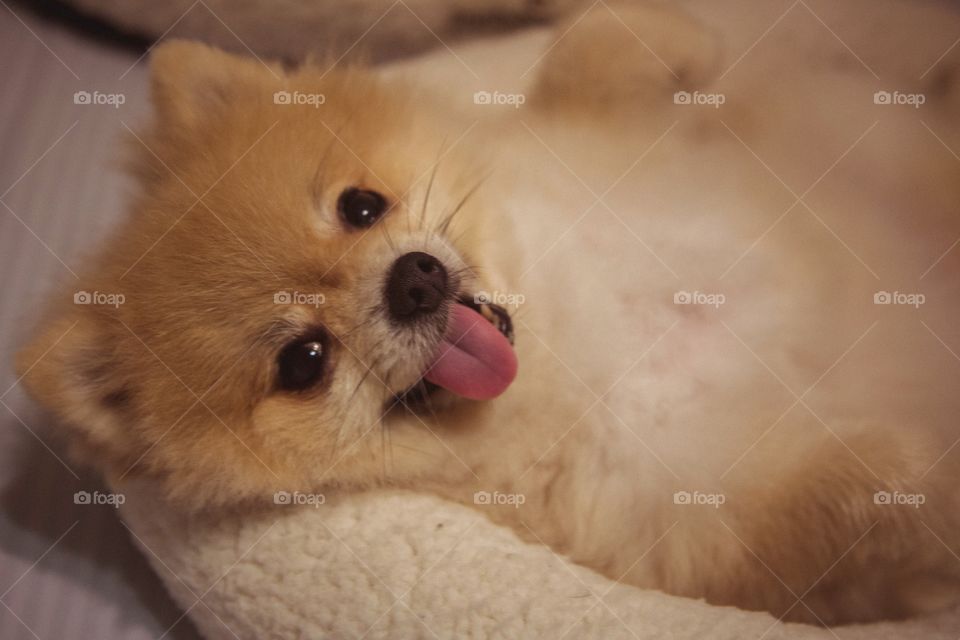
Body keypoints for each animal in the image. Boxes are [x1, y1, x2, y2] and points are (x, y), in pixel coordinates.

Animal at [16, 0, 960, 628]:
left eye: (361, 207)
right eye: (304, 361)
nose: (413, 281)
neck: (580, 322)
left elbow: (593, 47)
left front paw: (684, 39)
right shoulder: (691, 521)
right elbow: (866, 495)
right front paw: (935, 492)